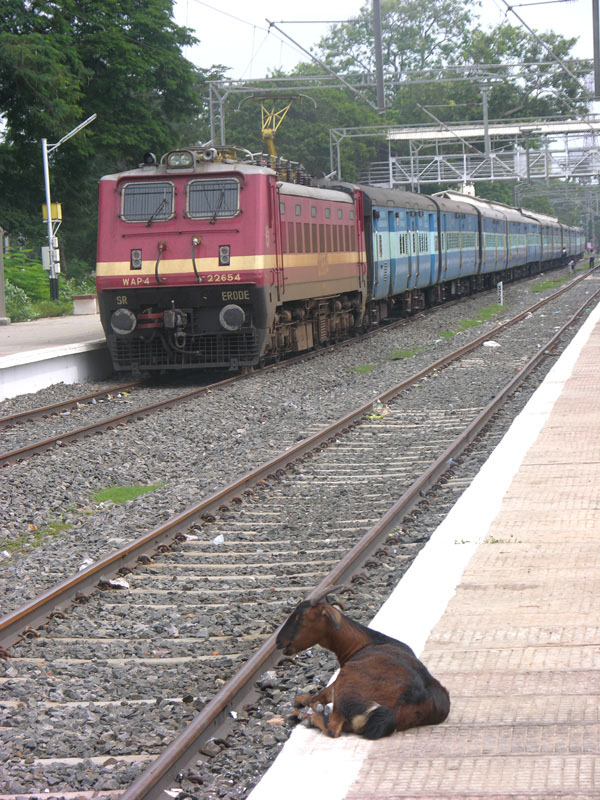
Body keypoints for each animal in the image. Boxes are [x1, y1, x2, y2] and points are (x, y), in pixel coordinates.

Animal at [276, 584, 450, 740]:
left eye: (300, 617)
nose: (278, 641)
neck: (368, 643)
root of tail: (394, 711)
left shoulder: (336, 684)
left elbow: (310, 698)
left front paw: (305, 704)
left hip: (345, 690)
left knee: (333, 728)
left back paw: (305, 717)